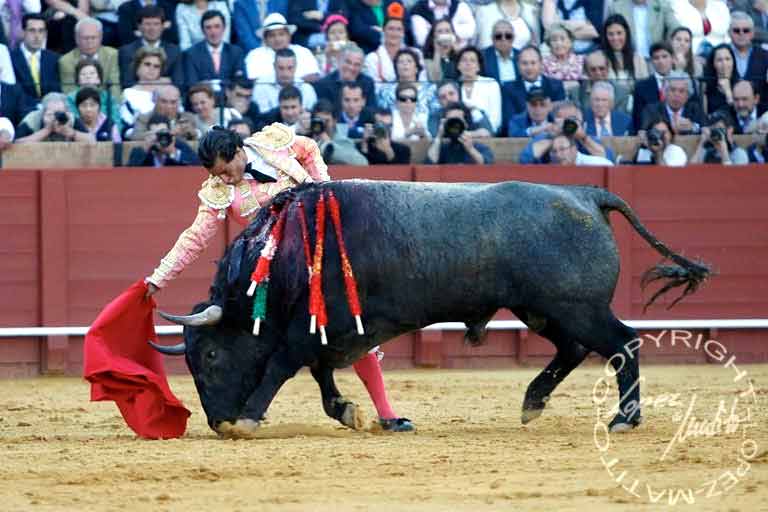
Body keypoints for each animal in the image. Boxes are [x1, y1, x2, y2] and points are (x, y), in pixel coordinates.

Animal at [153, 180, 712, 436]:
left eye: (210, 357)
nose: (217, 422)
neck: (284, 254)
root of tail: (585, 193)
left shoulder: (313, 328)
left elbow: (283, 365)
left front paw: (249, 418)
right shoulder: (330, 332)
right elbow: (322, 373)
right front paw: (348, 411)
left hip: (577, 307)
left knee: (623, 343)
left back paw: (624, 419)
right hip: (542, 309)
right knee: (574, 350)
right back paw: (532, 402)